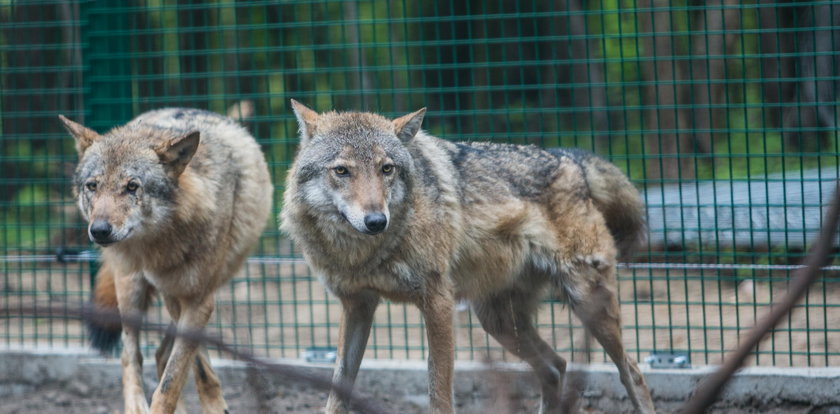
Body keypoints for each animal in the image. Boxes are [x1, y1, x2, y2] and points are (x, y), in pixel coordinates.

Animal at [60, 107, 274, 414]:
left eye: (132, 187)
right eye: (92, 186)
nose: (99, 230)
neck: (164, 241)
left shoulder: (197, 301)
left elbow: (173, 379)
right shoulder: (181, 301)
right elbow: (188, 368)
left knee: (160, 355)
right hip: (131, 290)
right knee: (131, 355)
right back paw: (135, 405)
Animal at [280, 100, 656, 414]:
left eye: (386, 169)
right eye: (341, 171)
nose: (376, 221)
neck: (362, 254)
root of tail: (572, 160)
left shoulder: (438, 303)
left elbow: (439, 392)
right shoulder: (357, 305)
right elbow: (338, 388)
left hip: (587, 305)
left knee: (632, 371)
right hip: (497, 321)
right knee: (556, 366)